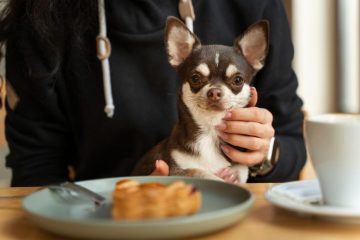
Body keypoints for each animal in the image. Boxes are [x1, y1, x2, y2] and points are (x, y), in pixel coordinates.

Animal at [134, 16, 268, 183]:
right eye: (195, 78)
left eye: (238, 80)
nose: (214, 92)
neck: (210, 129)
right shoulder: (176, 170)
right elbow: (200, 172)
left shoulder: (239, 166)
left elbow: (241, 170)